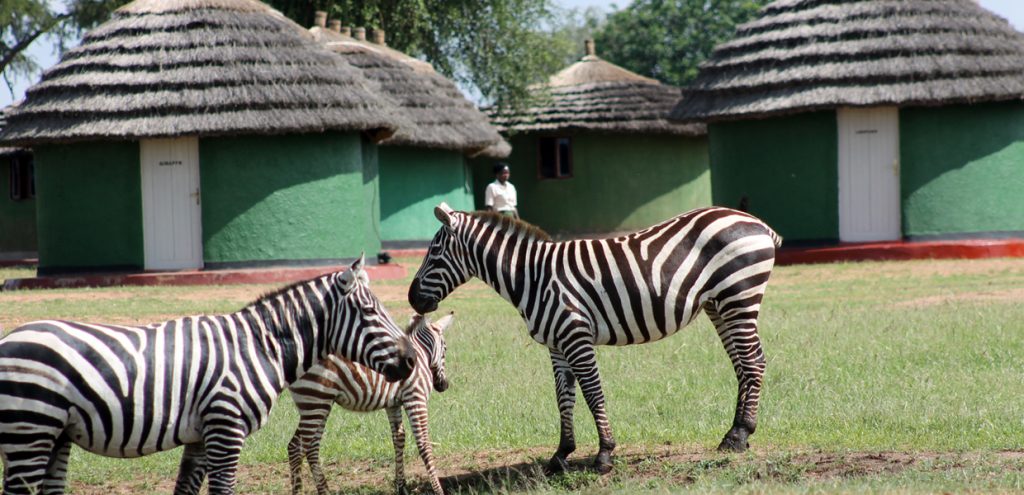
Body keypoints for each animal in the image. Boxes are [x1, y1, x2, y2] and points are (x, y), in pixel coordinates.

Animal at [0, 256, 417, 495]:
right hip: (31, 429)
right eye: (370, 312)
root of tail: (9, 338)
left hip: (54, 435)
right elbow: (222, 490)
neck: (258, 346)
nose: (412, 360)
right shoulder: (226, 428)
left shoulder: (200, 435)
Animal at [284, 311, 452, 495]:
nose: (444, 386)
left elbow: (398, 439)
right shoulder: (415, 397)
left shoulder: (393, 404)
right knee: (298, 447)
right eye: (445, 349)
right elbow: (424, 444)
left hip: (318, 403)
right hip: (315, 400)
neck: (421, 356)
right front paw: (438, 490)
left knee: (308, 447)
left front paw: (401, 486)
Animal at [407, 203, 782, 473]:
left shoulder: (576, 337)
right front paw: (561, 455)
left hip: (739, 296)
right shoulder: (556, 345)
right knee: (744, 364)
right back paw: (737, 433)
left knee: (753, 362)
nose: (411, 299)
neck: (532, 277)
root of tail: (757, 223)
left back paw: (739, 434)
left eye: (434, 252)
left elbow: (592, 393)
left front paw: (604, 454)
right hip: (719, 305)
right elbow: (564, 398)